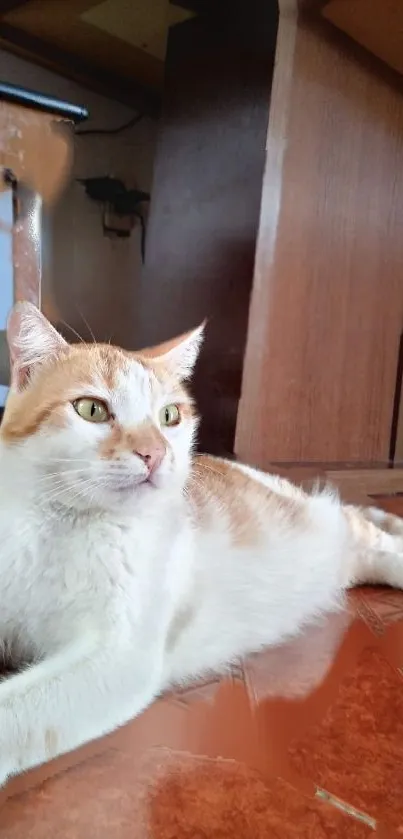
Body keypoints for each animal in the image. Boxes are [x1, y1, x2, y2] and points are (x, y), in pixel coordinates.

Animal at [0, 302, 403, 788]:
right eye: (92, 410)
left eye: (169, 417)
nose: (155, 453)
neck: (58, 526)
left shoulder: (118, 657)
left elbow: (14, 711)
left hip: (327, 524)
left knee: (366, 529)